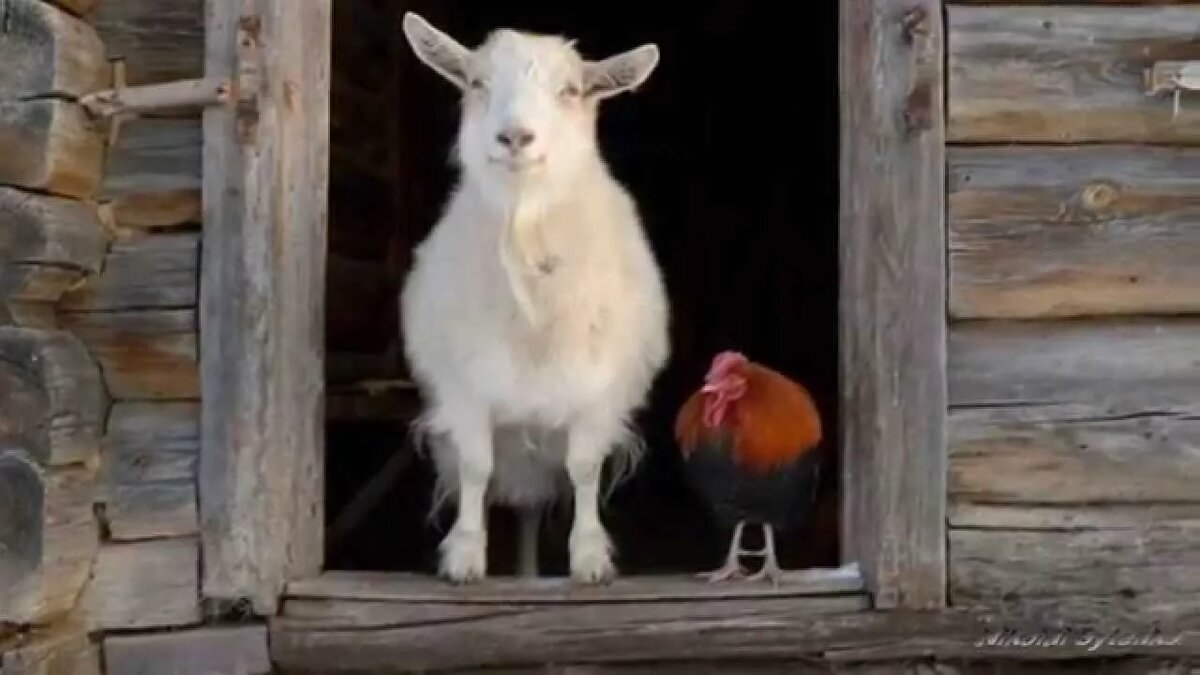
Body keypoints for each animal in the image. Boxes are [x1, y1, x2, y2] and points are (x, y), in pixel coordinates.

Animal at [398, 13, 671, 584]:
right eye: (477, 82)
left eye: (570, 91)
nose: (515, 137)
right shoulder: (465, 385)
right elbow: (476, 466)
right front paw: (464, 555)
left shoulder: (597, 391)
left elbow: (584, 467)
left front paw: (589, 558)